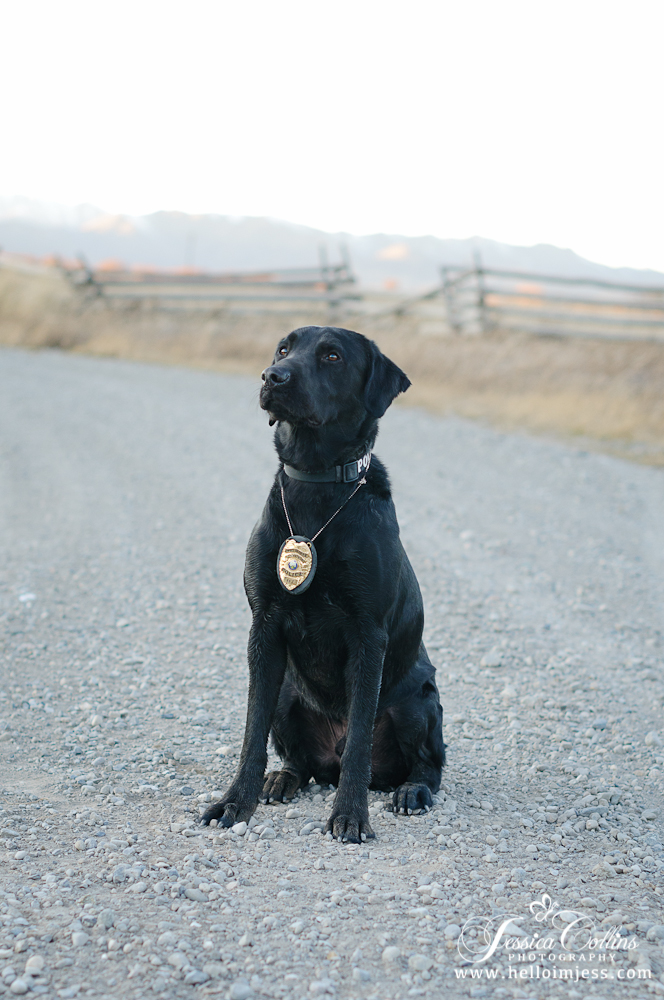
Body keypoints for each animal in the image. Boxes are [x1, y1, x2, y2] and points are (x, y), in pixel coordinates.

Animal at [200, 324, 444, 840]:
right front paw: (235, 803)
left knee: (426, 766)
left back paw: (411, 791)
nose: (273, 376)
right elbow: (251, 734)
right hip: (287, 696)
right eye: (283, 349)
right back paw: (281, 779)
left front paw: (350, 815)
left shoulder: (368, 634)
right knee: (302, 763)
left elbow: (358, 742)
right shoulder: (264, 627)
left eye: (332, 356)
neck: (316, 486)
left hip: (418, 702)